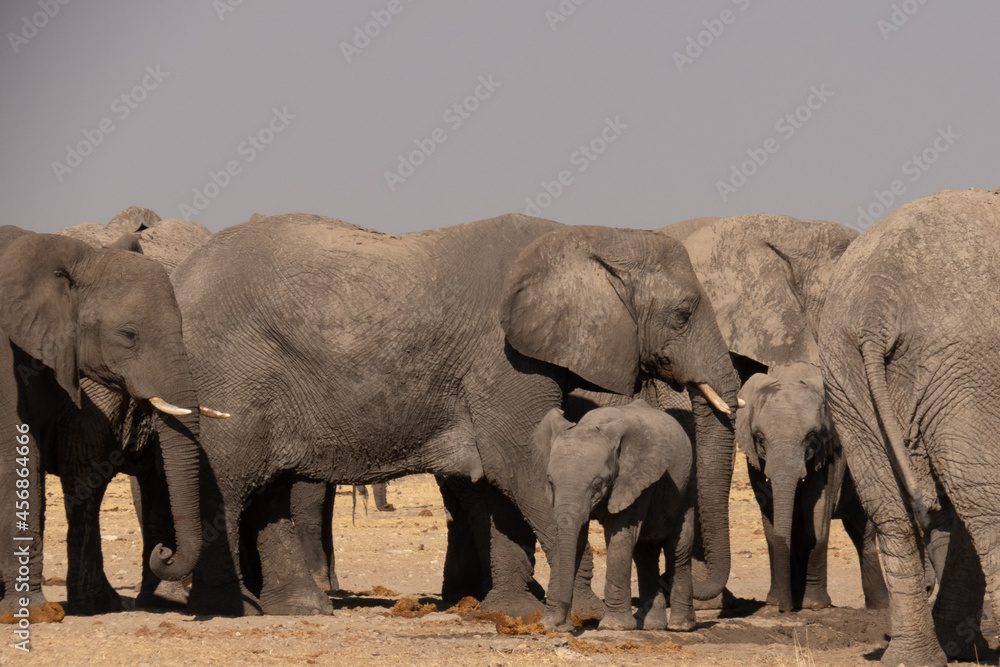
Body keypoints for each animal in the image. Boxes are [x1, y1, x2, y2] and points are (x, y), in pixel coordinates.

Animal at [534, 400, 696, 633]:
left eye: (598, 484)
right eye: (550, 482)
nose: (561, 625)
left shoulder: (633, 480)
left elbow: (620, 537)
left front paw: (615, 626)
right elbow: (575, 538)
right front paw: (548, 624)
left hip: (688, 484)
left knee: (678, 547)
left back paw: (680, 626)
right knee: (645, 553)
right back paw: (651, 626)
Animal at [736, 362, 888, 612]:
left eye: (811, 438)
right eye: (760, 439)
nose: (785, 610)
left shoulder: (833, 451)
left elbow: (816, 512)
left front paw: (814, 605)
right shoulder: (754, 459)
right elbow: (772, 521)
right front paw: (777, 601)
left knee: (862, 531)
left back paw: (880, 606)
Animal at [819, 188, 1000, 665]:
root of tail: (877, 301)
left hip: (844, 373)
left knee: (891, 509)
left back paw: (910, 656)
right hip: (965, 366)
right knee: (986, 505)